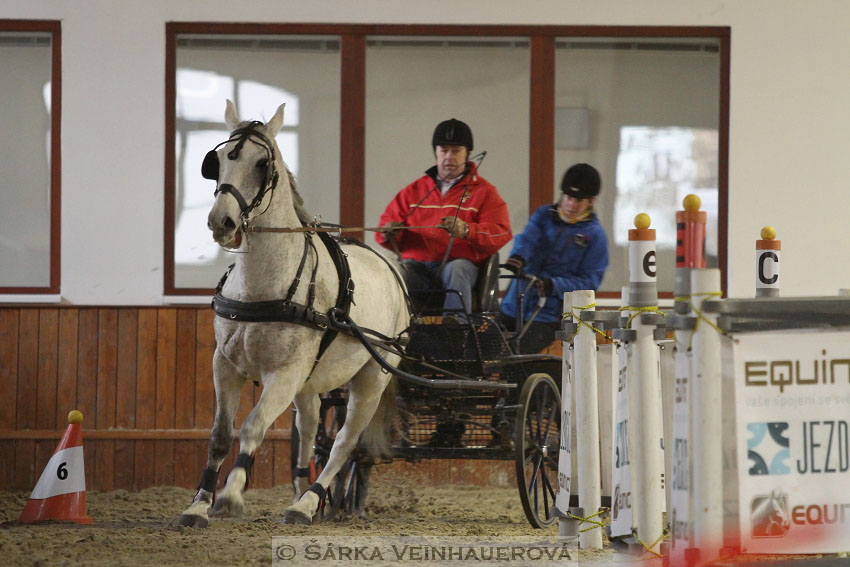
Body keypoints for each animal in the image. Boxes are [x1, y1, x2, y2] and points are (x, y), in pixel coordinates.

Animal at [177, 98, 406, 528]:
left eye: (261, 164)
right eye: (218, 160)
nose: (221, 221)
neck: (262, 286)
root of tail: (391, 264)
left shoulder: (284, 374)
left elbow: (253, 427)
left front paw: (231, 495)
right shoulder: (225, 366)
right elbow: (220, 436)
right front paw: (198, 505)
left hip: (371, 377)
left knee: (343, 443)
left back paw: (307, 502)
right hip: (311, 382)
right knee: (311, 430)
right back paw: (303, 492)